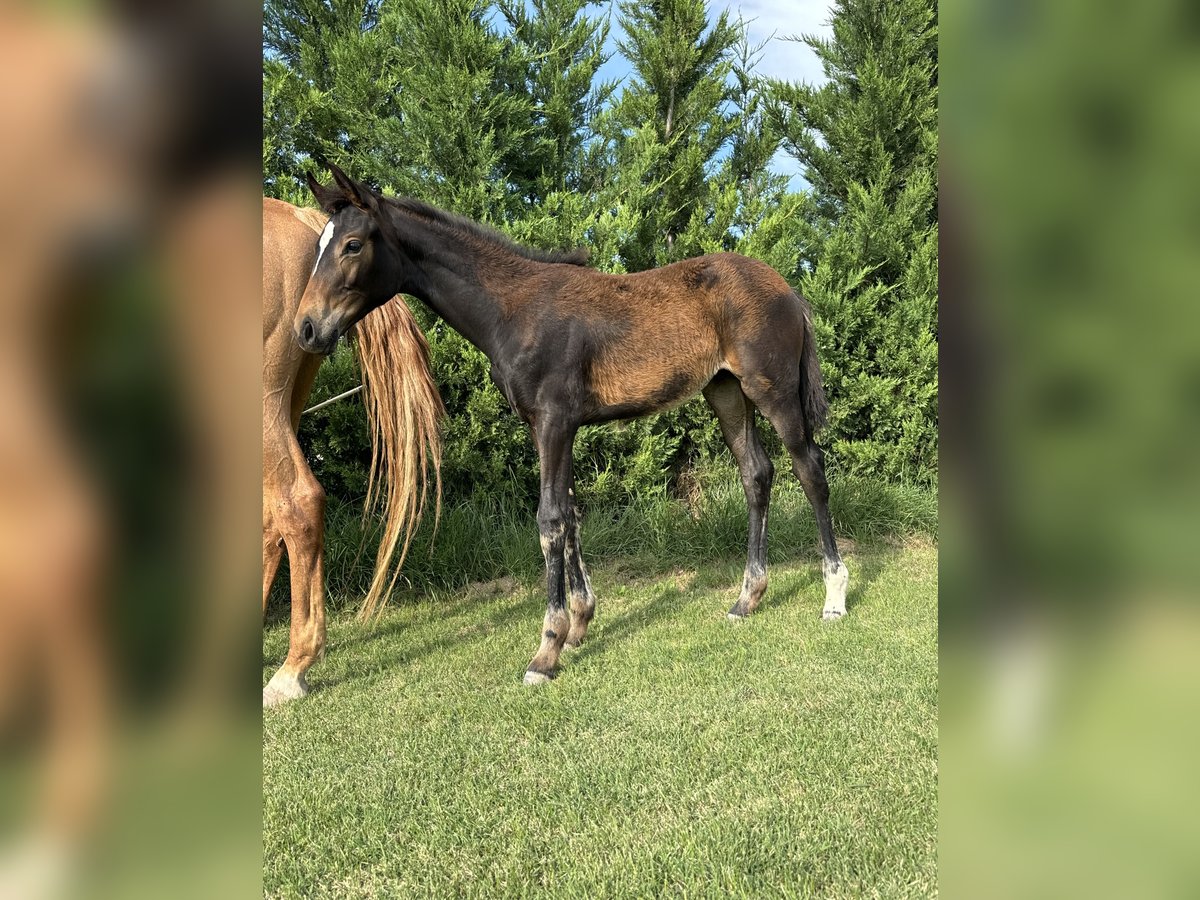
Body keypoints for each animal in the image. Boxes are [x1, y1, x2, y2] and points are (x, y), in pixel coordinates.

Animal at [295, 169, 849, 686]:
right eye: (318, 245)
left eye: (351, 244)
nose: (307, 329)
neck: (513, 309)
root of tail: (788, 289)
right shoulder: (553, 427)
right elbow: (573, 514)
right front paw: (580, 624)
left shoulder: (554, 421)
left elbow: (551, 520)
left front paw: (547, 649)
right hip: (726, 390)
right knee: (756, 473)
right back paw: (747, 598)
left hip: (773, 391)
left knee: (810, 469)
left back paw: (834, 595)